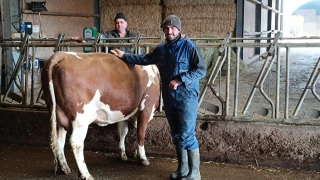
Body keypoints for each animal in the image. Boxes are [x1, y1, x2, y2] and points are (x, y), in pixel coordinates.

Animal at [41, 51, 161, 179]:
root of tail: (62, 54)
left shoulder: (124, 112)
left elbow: (123, 132)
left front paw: (123, 154)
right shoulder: (147, 107)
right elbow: (141, 134)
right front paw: (143, 158)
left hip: (58, 113)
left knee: (59, 140)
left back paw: (64, 167)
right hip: (80, 118)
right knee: (76, 142)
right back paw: (85, 174)